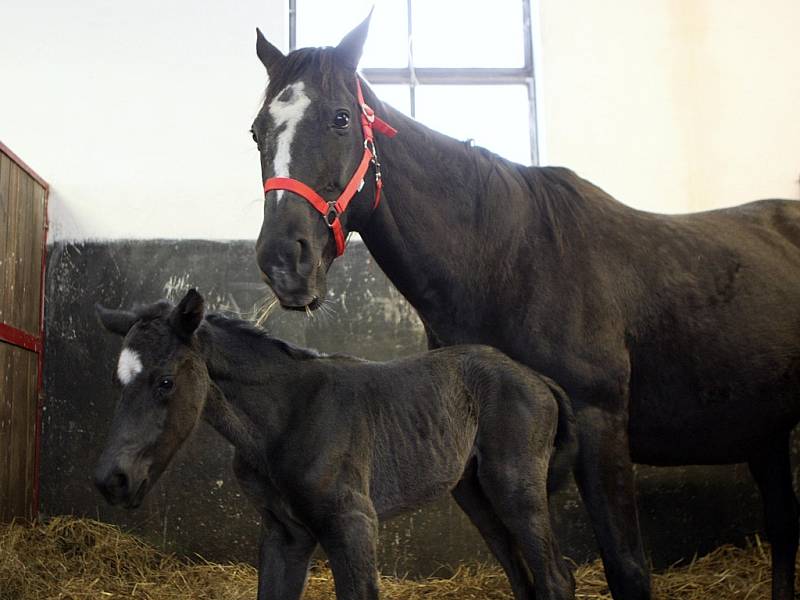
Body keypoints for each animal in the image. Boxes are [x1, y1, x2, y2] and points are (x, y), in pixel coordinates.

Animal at [95, 288, 576, 596]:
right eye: (118, 382)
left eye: (165, 381)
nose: (111, 480)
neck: (283, 420)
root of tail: (536, 378)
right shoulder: (286, 534)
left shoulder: (353, 524)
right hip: (474, 493)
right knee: (523, 578)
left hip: (514, 488)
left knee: (555, 580)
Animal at [248, 14, 800, 600]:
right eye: (257, 132)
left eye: (341, 118)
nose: (284, 258)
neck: (510, 261)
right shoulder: (471, 472)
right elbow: (521, 574)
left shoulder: (602, 427)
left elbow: (627, 568)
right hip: (763, 431)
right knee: (783, 524)